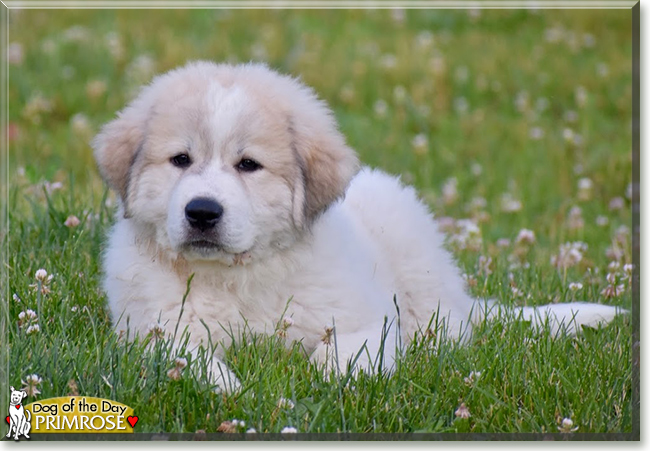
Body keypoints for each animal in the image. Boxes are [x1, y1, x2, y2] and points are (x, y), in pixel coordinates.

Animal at [93, 61, 620, 392]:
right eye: (180, 160)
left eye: (249, 165)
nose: (202, 212)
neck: (238, 277)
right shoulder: (152, 328)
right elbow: (189, 359)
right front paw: (228, 388)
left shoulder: (361, 318)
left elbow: (343, 353)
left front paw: (329, 382)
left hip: (418, 270)